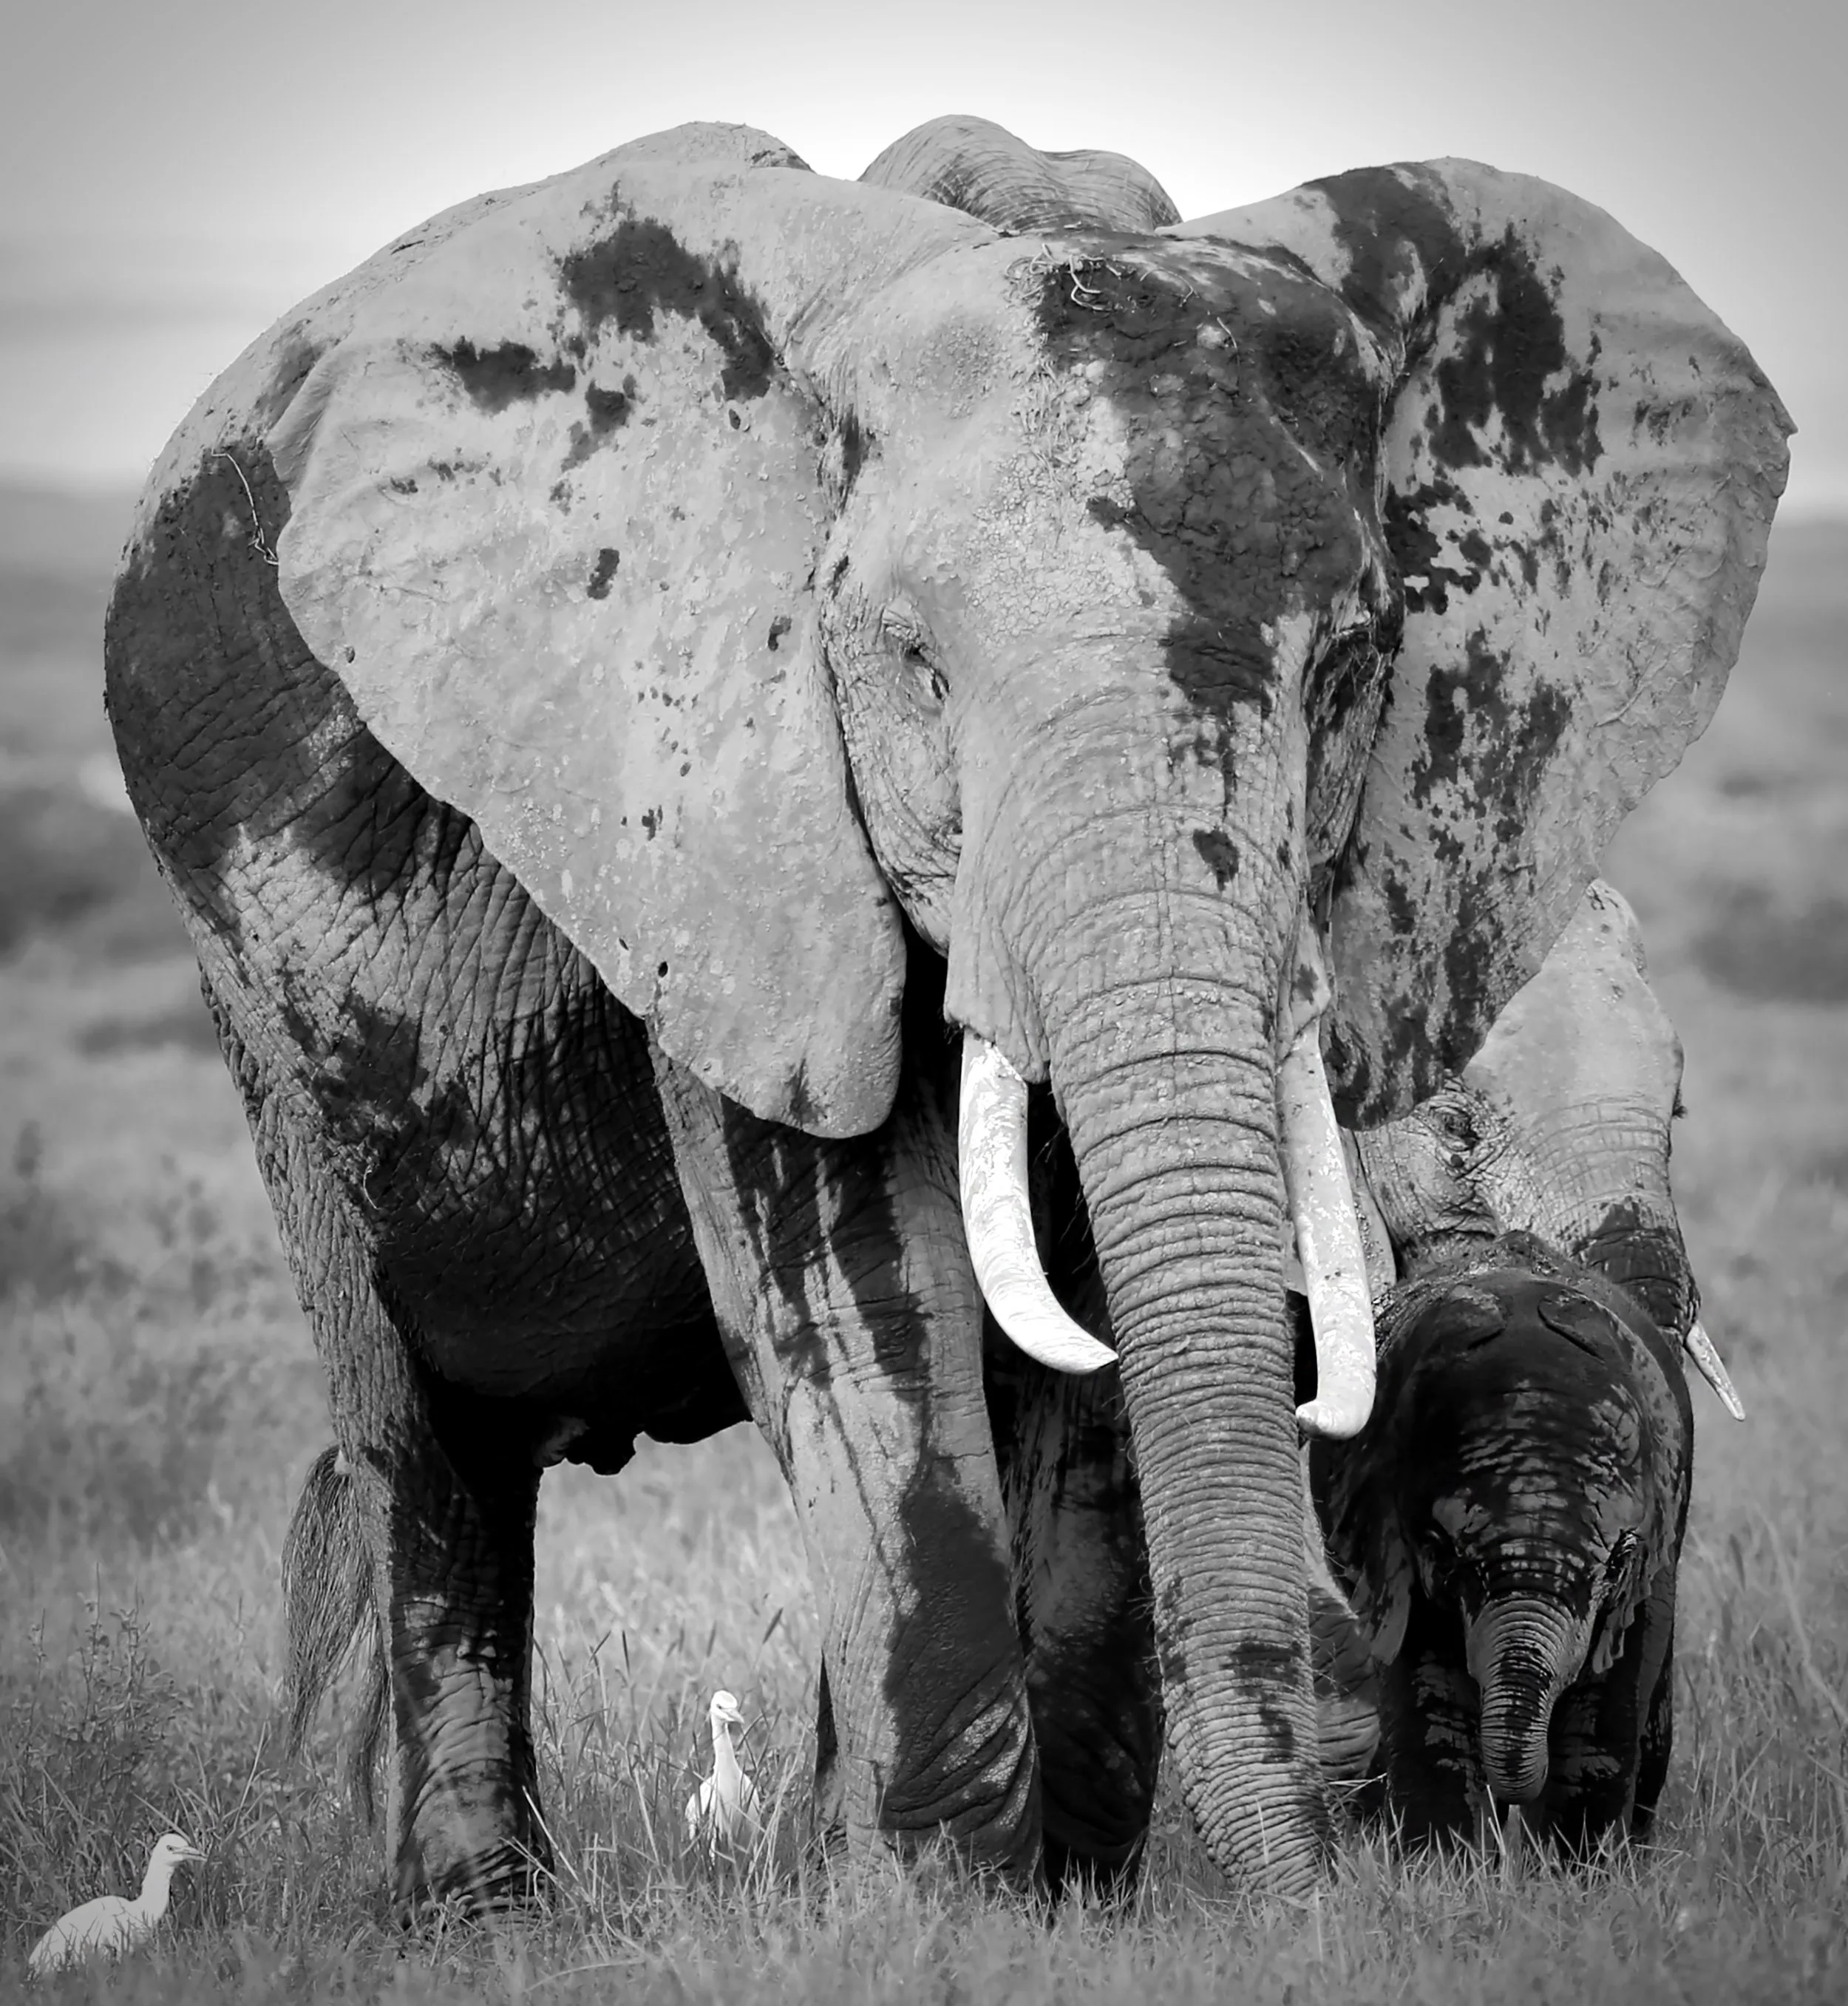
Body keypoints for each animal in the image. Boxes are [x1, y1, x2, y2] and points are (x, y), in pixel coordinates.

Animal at [102, 110, 1788, 1906]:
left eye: (1347, 672)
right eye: (911, 663)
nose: (1327, 1837)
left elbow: (1089, 1321)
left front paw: (1058, 1899)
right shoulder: (726, 821)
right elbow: (863, 1287)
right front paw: (937, 1900)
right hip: (260, 1020)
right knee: (429, 1441)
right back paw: (480, 1913)